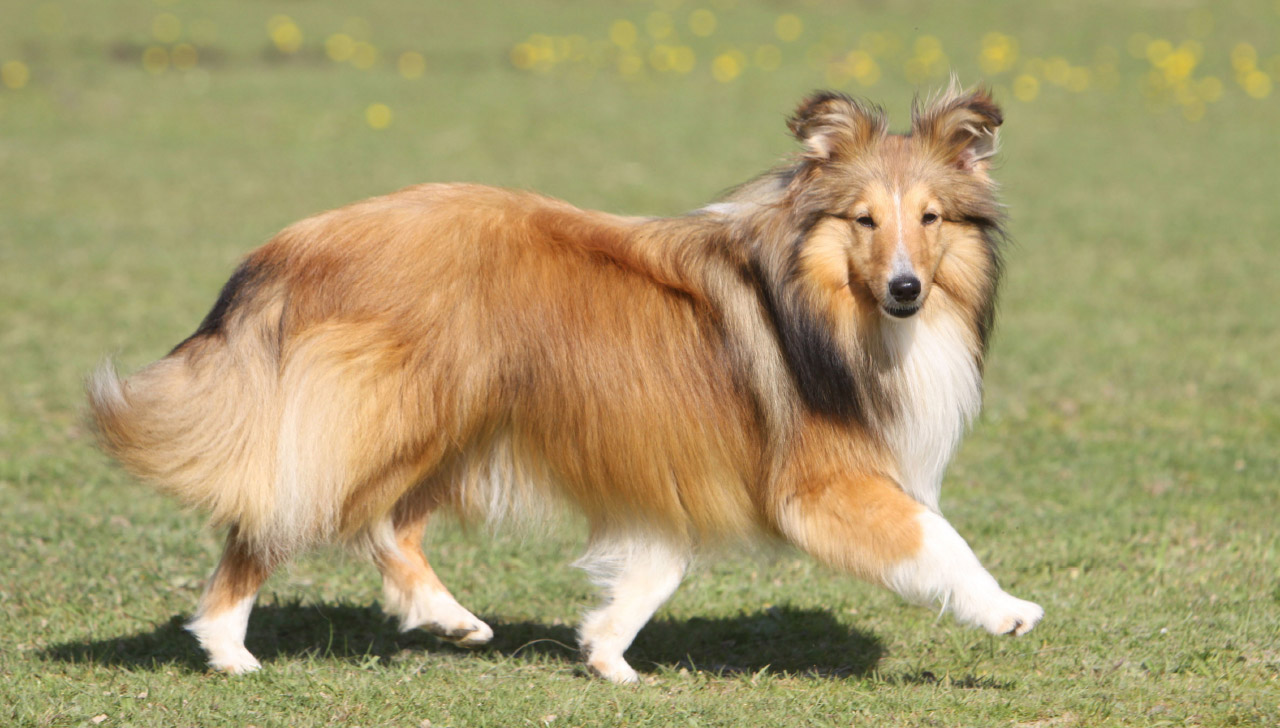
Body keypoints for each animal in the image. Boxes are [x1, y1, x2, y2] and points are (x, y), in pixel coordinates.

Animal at [90, 85, 1039, 680]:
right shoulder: (822, 483)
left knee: (387, 526)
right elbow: (936, 538)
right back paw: (229, 648)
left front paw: (608, 655)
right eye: (863, 219)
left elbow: (655, 569)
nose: (906, 289)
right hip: (396, 416)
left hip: (455, 421)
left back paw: (452, 619)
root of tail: (293, 244)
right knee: (286, 518)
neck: (824, 302)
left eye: (931, 218)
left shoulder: (675, 465)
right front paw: (1006, 611)